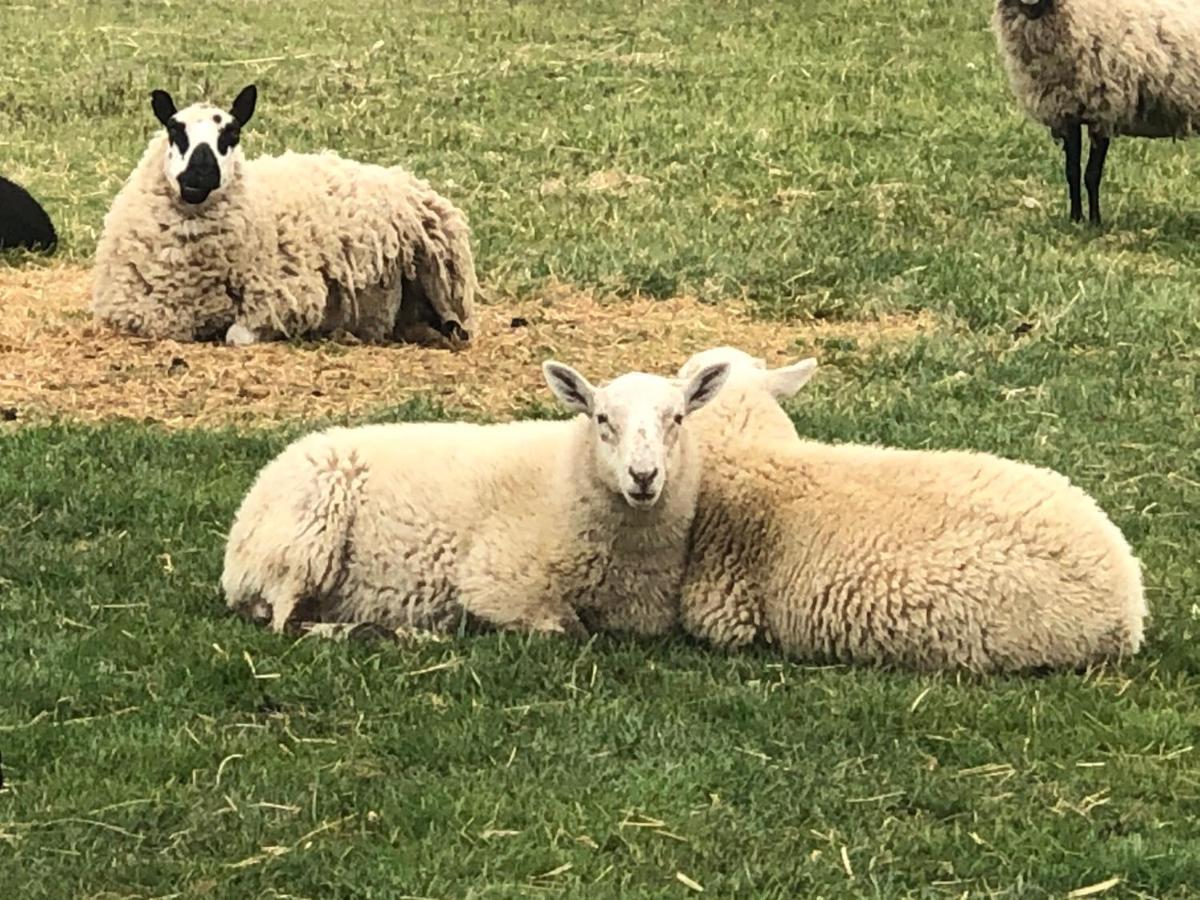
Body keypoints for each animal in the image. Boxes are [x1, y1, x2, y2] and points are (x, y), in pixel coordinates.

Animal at [91, 84, 475, 348]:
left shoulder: (283, 302)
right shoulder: (144, 315)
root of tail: (399, 175)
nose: (200, 175)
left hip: (439, 270)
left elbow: (235, 335)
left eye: (232, 133)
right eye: (174, 129)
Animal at [220, 357, 734, 643]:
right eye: (602, 419)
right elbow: (566, 629)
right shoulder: (498, 582)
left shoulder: (640, 617)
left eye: (678, 418)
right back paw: (392, 633)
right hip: (304, 545)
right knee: (285, 623)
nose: (643, 477)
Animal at [988, 0, 1200, 225]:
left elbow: (1092, 174)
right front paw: (1075, 219)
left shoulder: (1104, 108)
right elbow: (1072, 171)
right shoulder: (1068, 112)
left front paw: (1095, 222)